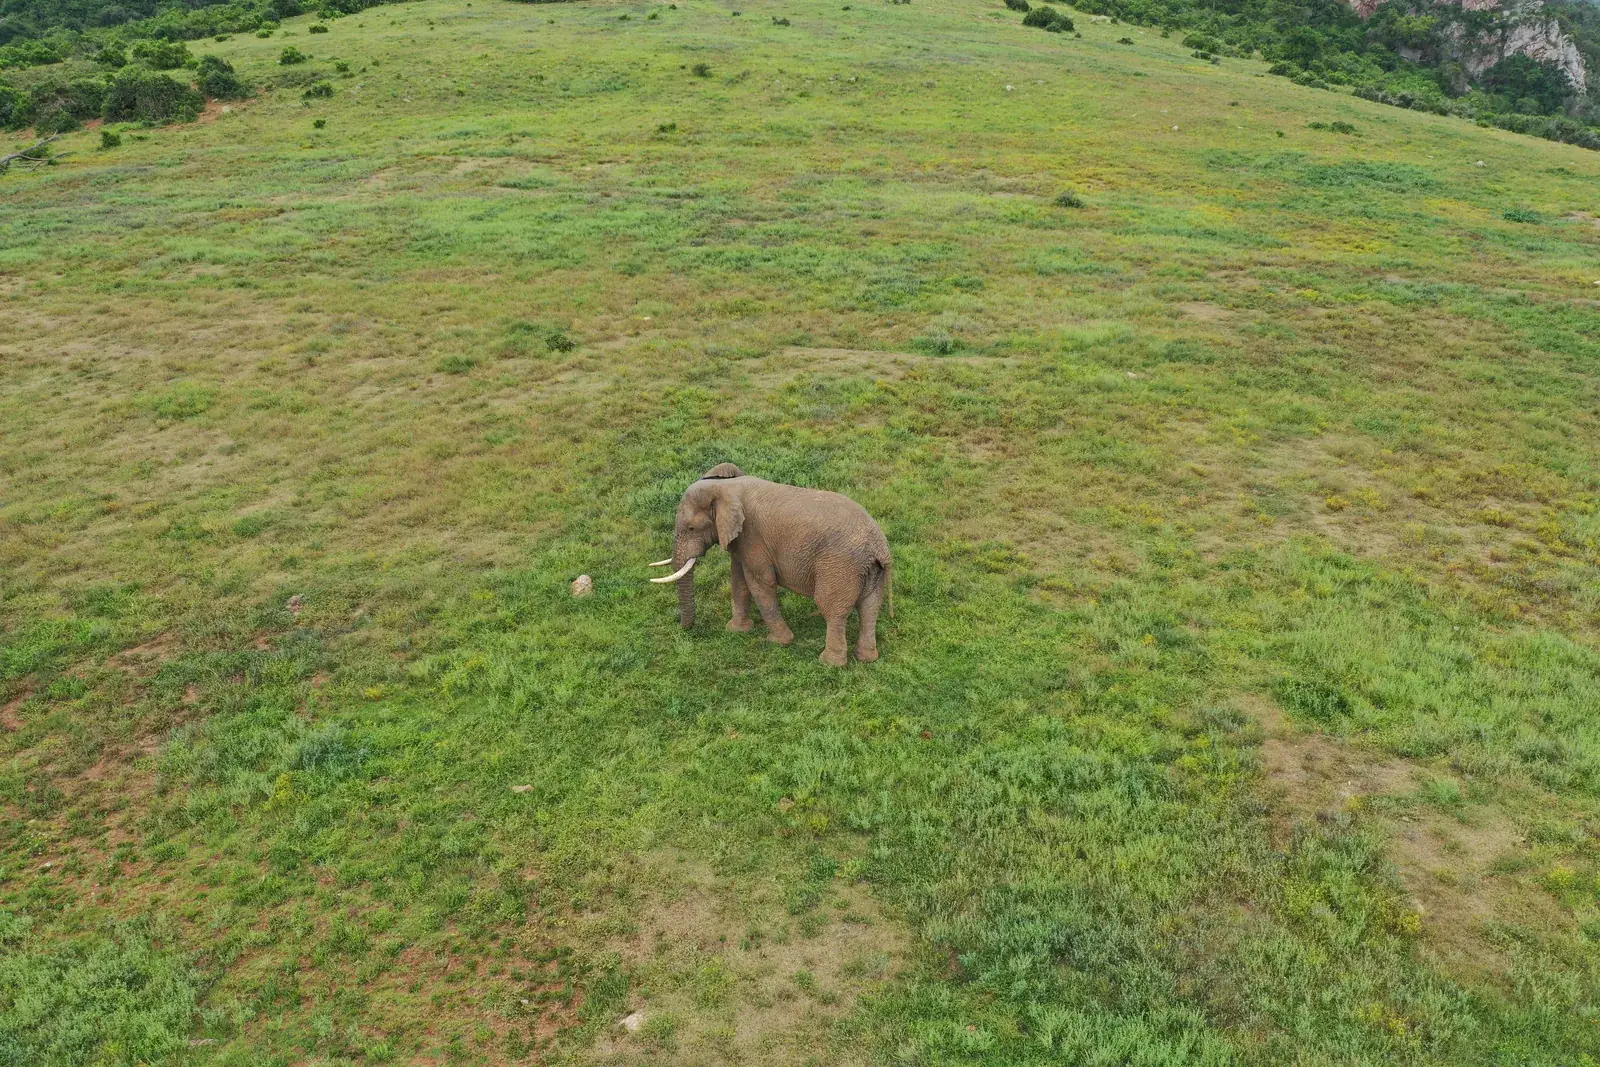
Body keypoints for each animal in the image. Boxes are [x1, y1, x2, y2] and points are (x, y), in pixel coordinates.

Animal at [647, 463, 893, 666]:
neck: (727, 487)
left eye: (691, 528)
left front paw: (779, 642)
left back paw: (829, 663)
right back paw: (867, 658)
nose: (684, 628)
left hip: (840, 566)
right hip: (870, 570)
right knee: (870, 607)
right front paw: (736, 631)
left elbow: (761, 583)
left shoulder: (753, 537)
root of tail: (879, 547)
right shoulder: (741, 541)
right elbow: (739, 580)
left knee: (833, 609)